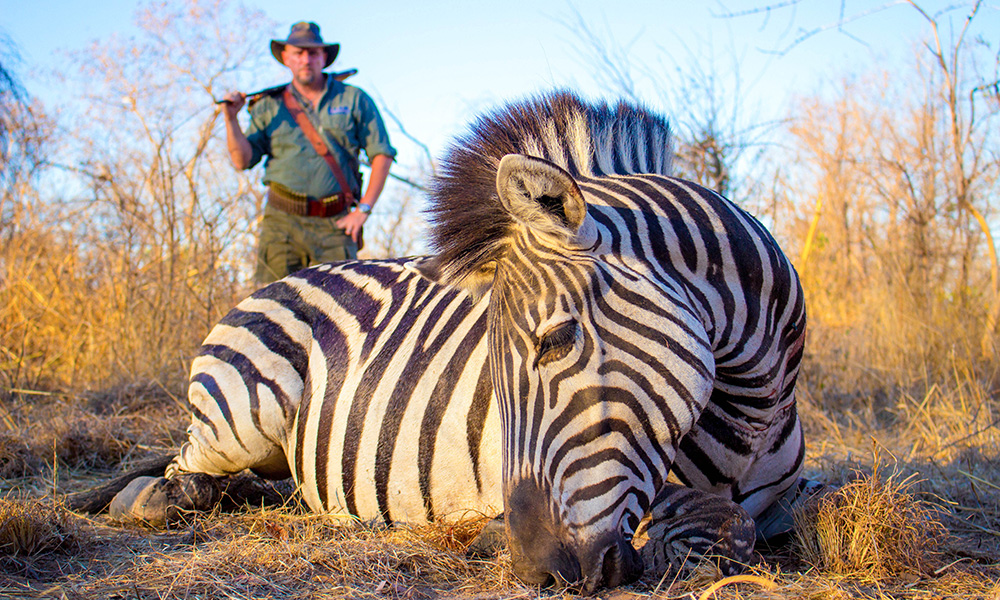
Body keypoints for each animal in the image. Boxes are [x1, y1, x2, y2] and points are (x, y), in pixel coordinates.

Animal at [105, 91, 816, 592]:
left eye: (558, 340)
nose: (539, 571)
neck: (751, 413)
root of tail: (293, 274)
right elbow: (719, 529)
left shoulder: (780, 499)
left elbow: (756, 523)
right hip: (236, 421)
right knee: (171, 486)